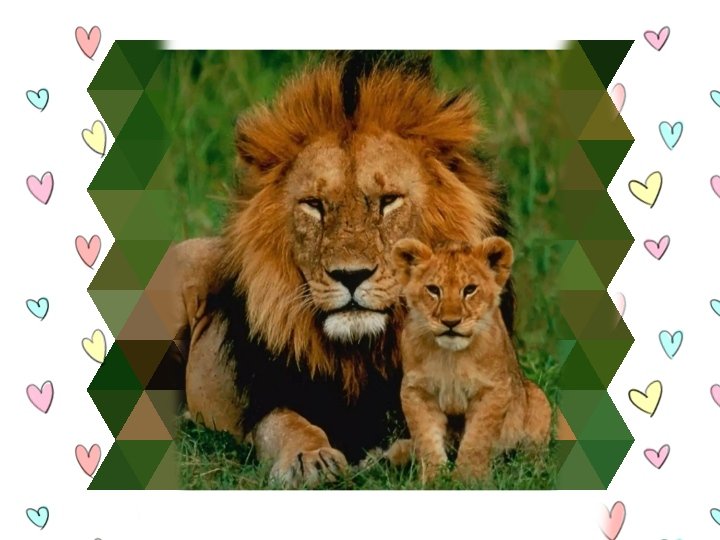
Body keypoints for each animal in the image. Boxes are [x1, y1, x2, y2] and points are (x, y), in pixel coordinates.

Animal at [149, 51, 516, 488]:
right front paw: (311, 459)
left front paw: (401, 455)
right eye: (314, 205)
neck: (360, 353)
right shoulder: (269, 397)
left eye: (388, 201)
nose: (351, 276)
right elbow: (287, 424)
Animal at [385, 237, 551, 483]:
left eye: (470, 289)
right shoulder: (416, 390)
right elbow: (426, 438)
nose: (451, 322)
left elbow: (477, 439)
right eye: (433, 290)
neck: (451, 356)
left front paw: (468, 478)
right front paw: (433, 479)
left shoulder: (494, 389)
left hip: (538, 399)